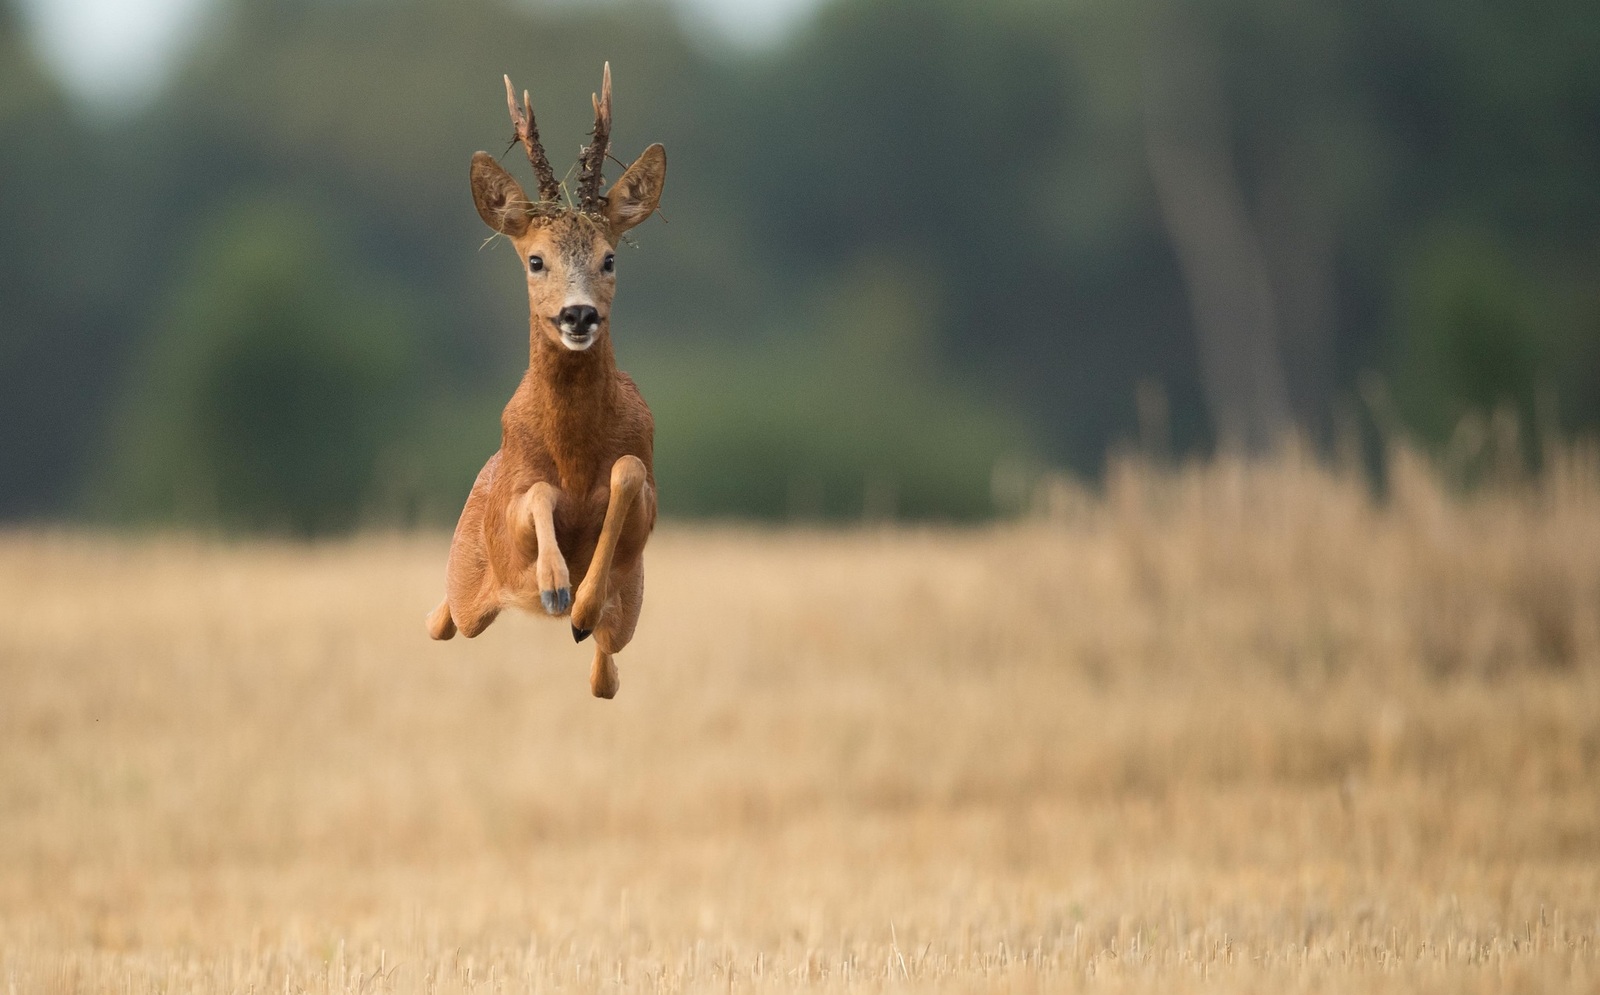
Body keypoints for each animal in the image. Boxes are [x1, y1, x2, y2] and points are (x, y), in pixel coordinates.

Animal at [425, 64, 662, 700]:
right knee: (446, 619)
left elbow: (628, 473)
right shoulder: (513, 507)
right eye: (535, 260)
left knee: (606, 675)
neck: (575, 455)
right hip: (468, 577)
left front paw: (578, 604)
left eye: (609, 258)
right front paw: (555, 584)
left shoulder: (645, 509)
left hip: (631, 613)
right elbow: (537, 495)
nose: (578, 315)